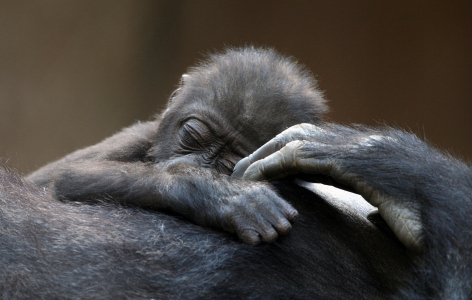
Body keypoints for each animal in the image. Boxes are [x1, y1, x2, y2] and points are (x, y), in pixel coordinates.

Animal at [26, 46, 328, 244]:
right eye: (193, 136)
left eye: (229, 163)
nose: (193, 165)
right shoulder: (136, 137)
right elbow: (71, 175)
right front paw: (223, 195)